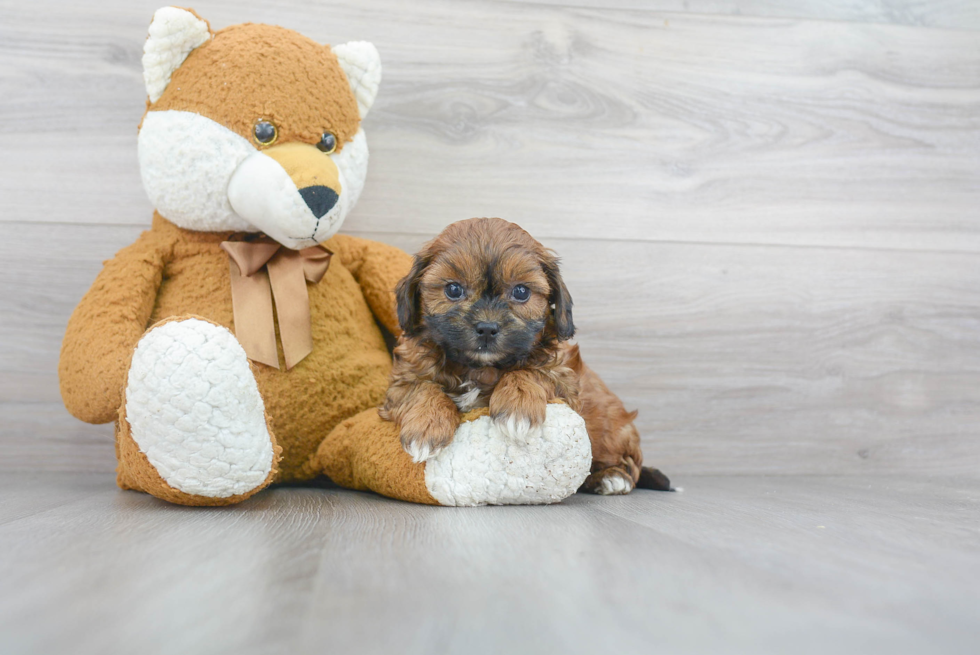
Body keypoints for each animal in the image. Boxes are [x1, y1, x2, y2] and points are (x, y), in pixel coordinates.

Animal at [378, 218, 668, 494]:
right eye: (453, 289)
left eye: (521, 292)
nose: (487, 328)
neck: (479, 367)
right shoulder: (403, 380)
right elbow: (422, 388)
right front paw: (425, 427)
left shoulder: (565, 380)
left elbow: (529, 371)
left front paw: (517, 409)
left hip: (612, 429)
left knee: (629, 463)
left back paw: (612, 478)